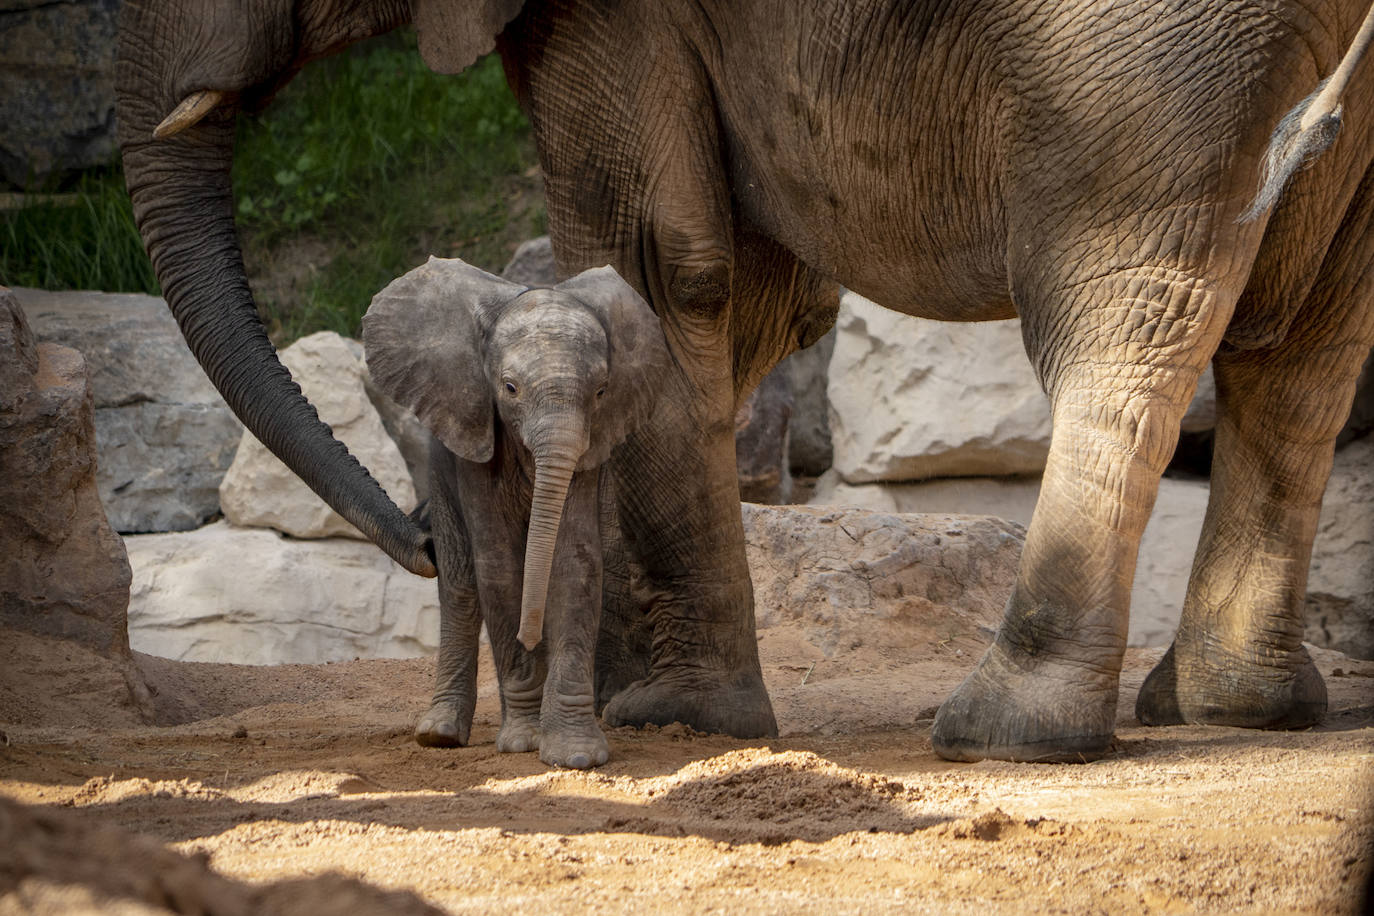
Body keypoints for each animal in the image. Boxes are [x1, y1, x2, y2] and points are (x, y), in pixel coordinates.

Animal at [362, 256, 667, 769]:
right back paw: (439, 735)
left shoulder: (589, 451)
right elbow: (500, 568)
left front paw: (575, 754)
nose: (529, 637)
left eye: (601, 392)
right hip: (441, 469)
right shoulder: (475, 443)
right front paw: (524, 741)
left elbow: (574, 564)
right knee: (461, 587)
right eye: (509, 388)